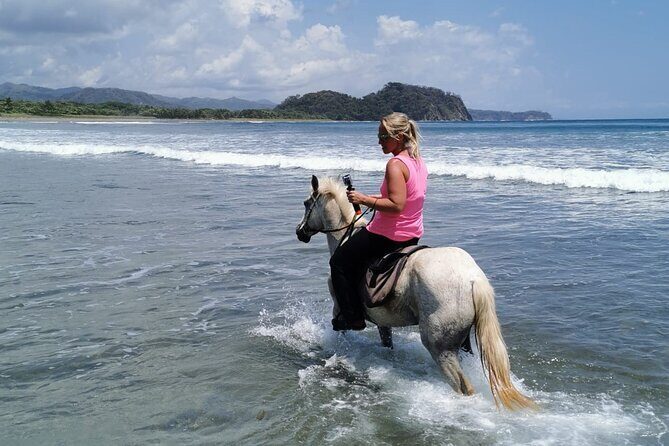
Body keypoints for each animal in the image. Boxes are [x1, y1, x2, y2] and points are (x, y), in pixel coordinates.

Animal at [295, 175, 535, 410]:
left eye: (306, 203)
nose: (299, 232)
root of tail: (472, 279)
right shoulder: (383, 322)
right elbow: (387, 344)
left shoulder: (339, 307)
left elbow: (339, 333)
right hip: (463, 343)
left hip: (440, 348)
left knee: (463, 387)